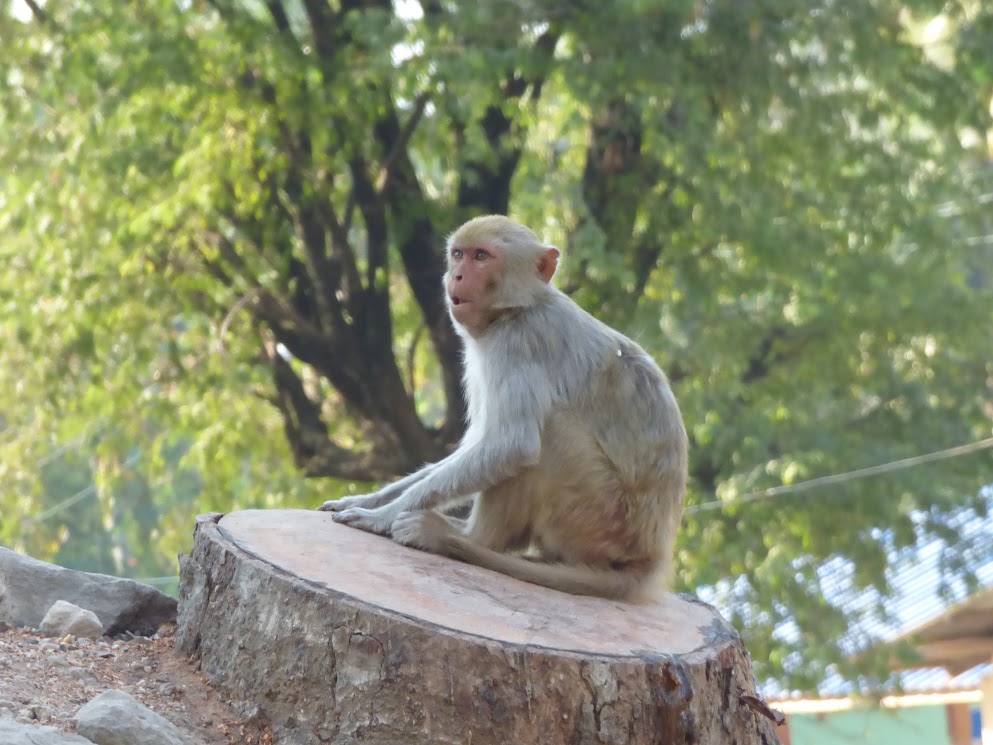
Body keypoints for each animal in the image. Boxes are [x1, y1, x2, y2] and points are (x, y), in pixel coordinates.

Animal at [322, 214, 684, 600]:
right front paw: (370, 500)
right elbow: (475, 446)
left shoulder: (517, 344)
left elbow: (511, 445)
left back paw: (463, 538)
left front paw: (381, 516)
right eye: (458, 254)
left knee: (549, 432)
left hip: (599, 517)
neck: (515, 310)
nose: (456, 275)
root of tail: (649, 557)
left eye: (481, 256)